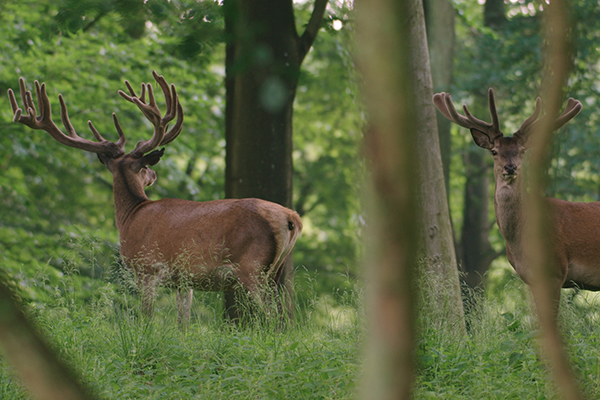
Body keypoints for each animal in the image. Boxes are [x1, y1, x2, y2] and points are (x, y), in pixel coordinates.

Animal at [7, 70, 302, 324]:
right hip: (277, 271)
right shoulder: (184, 280)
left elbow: (146, 318)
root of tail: (292, 218)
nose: (154, 174)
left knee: (275, 319)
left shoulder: (146, 267)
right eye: (145, 168)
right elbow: (183, 323)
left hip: (253, 267)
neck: (131, 216)